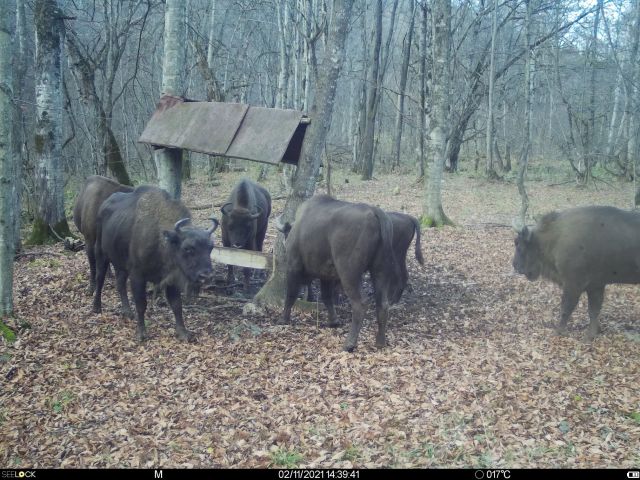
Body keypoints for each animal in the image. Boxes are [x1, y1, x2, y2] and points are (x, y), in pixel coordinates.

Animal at [92, 186, 218, 344]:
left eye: (211, 247)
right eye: (187, 248)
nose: (206, 276)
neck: (164, 240)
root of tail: (104, 205)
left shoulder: (171, 279)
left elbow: (177, 305)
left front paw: (183, 333)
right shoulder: (137, 276)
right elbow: (141, 304)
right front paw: (141, 334)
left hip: (121, 265)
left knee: (120, 283)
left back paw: (127, 312)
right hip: (101, 254)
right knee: (100, 278)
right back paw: (96, 307)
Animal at [278, 195, 402, 352]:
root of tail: (375, 212)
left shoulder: (293, 268)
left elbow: (290, 295)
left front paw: (283, 320)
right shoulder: (325, 276)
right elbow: (327, 297)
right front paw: (334, 321)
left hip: (349, 274)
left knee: (360, 304)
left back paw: (349, 344)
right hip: (380, 271)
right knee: (383, 304)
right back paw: (380, 342)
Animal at [512, 204, 640, 340]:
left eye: (518, 244)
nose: (515, 265)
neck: (556, 237)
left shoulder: (573, 284)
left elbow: (566, 308)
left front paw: (559, 331)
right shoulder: (596, 285)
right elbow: (593, 310)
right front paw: (591, 335)